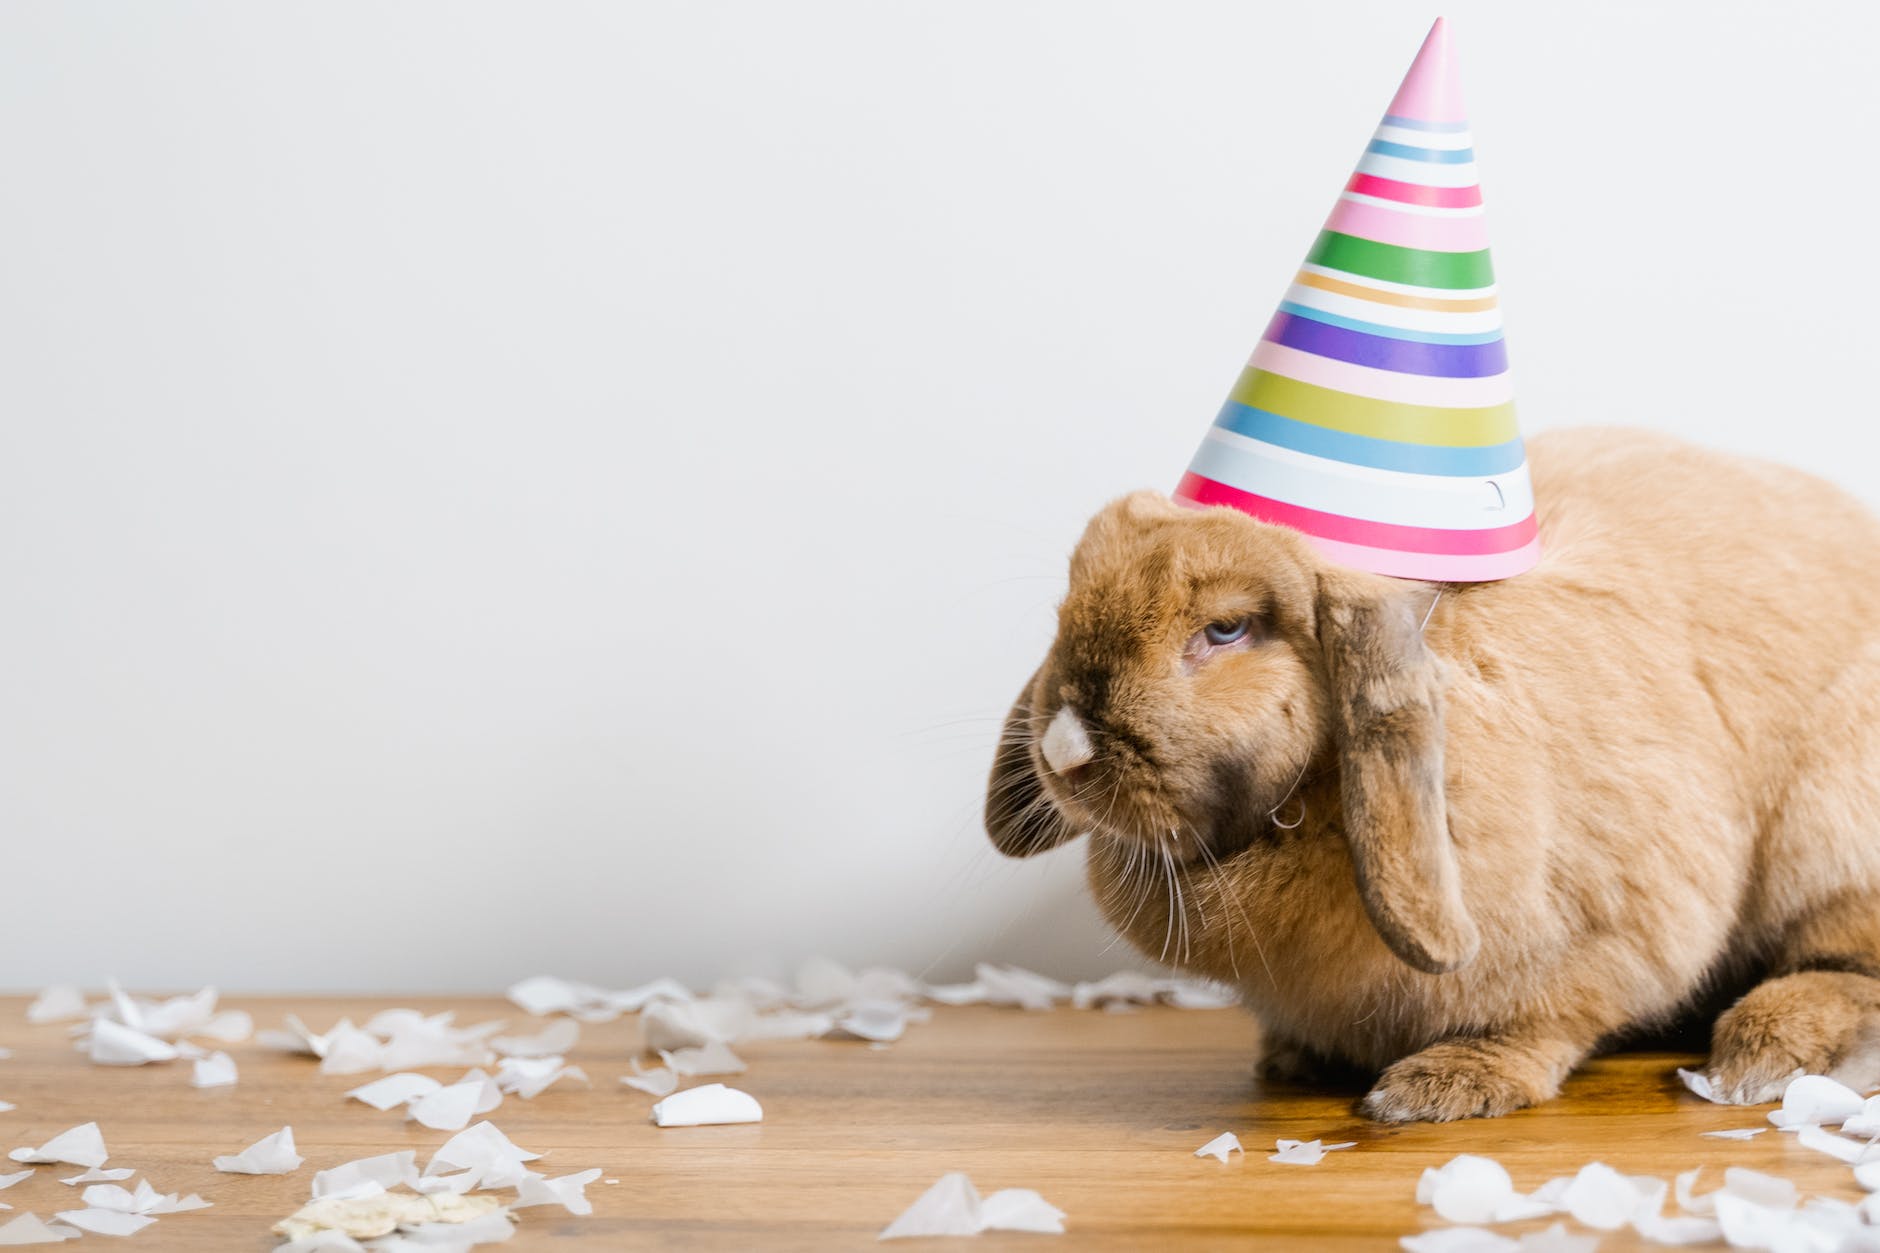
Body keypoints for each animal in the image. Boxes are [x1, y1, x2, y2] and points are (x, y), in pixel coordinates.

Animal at [984, 426, 1880, 1122]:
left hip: (1828, 839)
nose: (1061, 747)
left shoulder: (1618, 929)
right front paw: (1294, 1055)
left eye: (1226, 628)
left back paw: (1755, 1057)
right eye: (1069, 603)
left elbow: (1547, 1018)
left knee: (1848, 969)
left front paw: (1438, 1085)